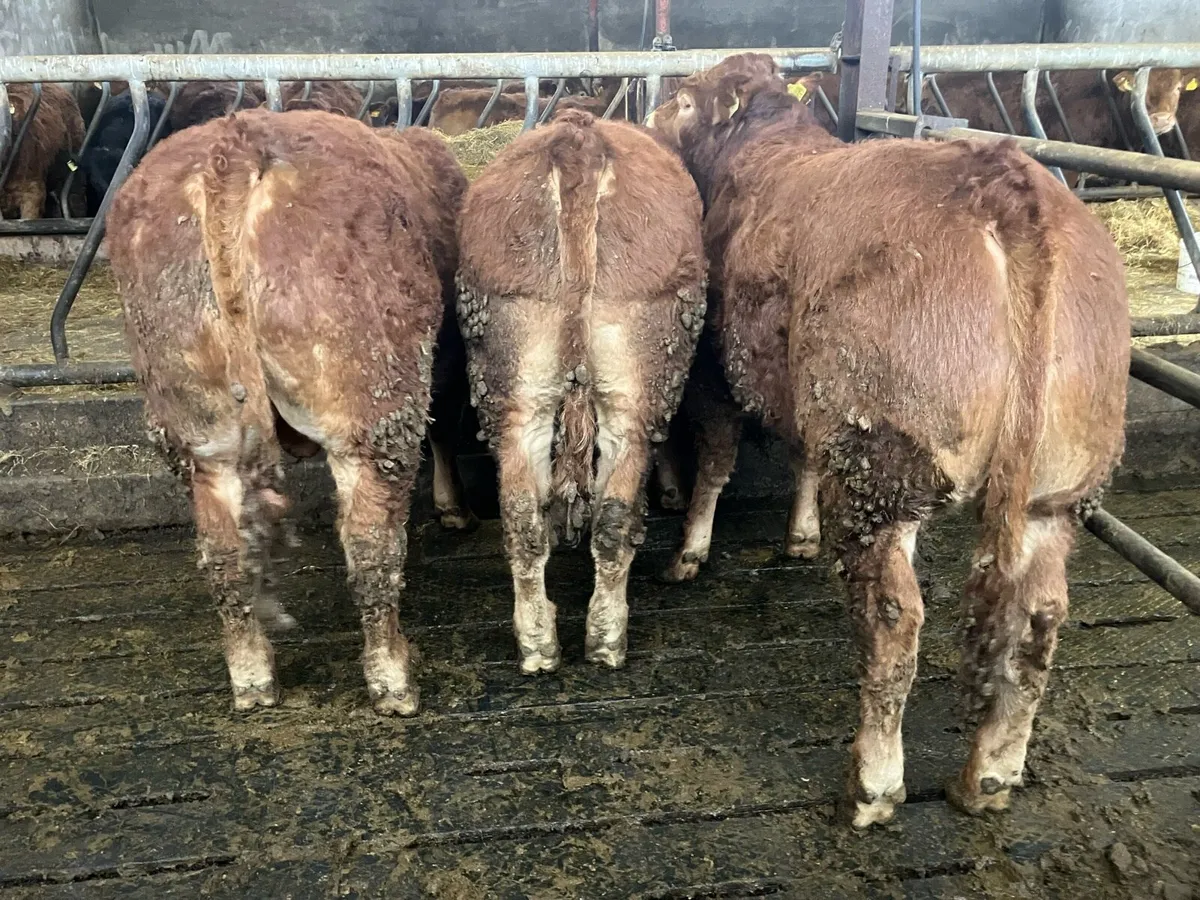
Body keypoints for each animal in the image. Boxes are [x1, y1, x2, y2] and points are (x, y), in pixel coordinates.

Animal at [106, 108, 471, 715]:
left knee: (224, 551)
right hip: (372, 405)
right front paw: (453, 507)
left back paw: (253, 678)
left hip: (198, 426)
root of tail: (234, 146)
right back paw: (393, 678)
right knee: (370, 543)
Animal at [456, 108, 706, 673]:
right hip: (639, 375)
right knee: (615, 512)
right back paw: (607, 640)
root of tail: (579, 139)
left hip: (514, 370)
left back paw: (538, 644)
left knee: (523, 514)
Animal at [647, 53, 1128, 827]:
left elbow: (717, 461)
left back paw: (872, 784)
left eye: (685, 99)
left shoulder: (720, 371)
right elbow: (802, 458)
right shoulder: (810, 399)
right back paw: (988, 775)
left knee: (895, 617)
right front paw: (801, 535)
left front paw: (690, 550)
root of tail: (1003, 183)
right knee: (1038, 617)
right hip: (1058, 485)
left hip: (884, 461)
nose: (651, 117)